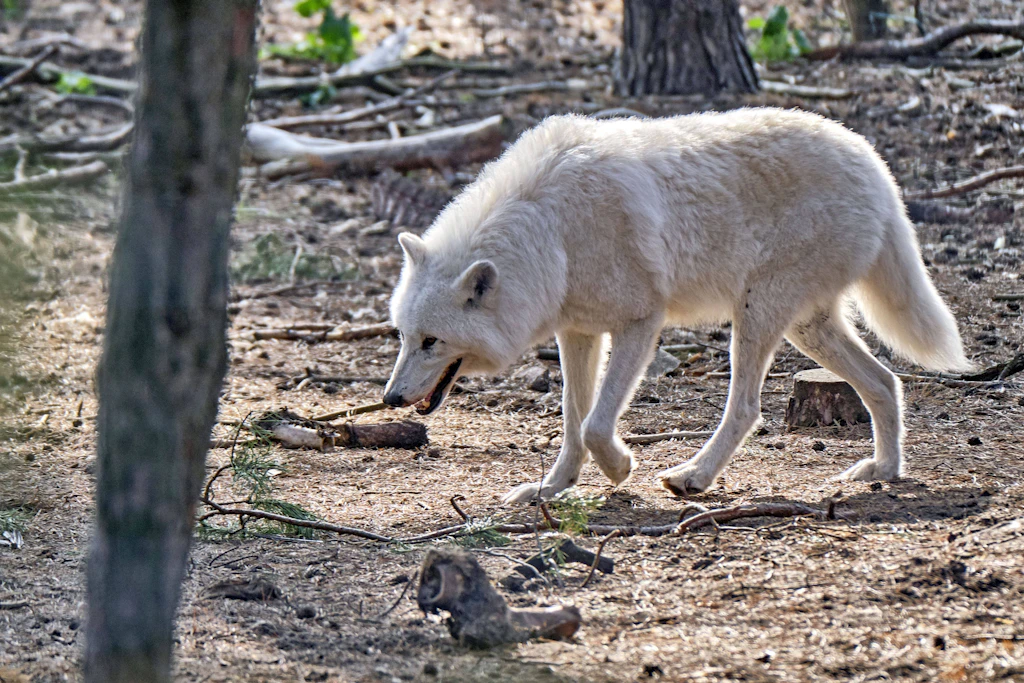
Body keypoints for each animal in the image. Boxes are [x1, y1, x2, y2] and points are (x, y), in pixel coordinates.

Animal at [382, 108, 970, 504]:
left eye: (432, 341)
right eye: (404, 337)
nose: (389, 399)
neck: (551, 230)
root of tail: (876, 166)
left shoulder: (641, 323)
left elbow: (595, 424)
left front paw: (620, 468)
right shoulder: (576, 333)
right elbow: (573, 418)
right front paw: (551, 488)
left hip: (756, 315)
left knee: (747, 408)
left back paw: (693, 477)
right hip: (807, 327)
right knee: (885, 383)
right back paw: (882, 471)